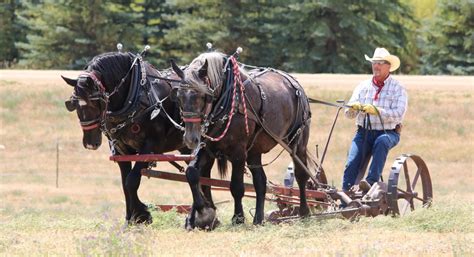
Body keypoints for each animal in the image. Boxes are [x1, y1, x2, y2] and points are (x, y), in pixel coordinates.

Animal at [62, 51, 189, 223]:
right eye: (73, 104)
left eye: (97, 103)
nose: (90, 143)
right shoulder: (121, 150)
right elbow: (124, 184)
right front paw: (131, 218)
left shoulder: (150, 147)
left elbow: (131, 181)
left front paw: (142, 214)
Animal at [172, 51, 312, 227]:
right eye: (179, 97)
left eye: (203, 96)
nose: (190, 138)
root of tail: (293, 82)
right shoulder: (206, 148)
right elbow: (192, 174)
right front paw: (202, 212)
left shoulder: (238, 152)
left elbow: (236, 186)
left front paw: (238, 217)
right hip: (254, 150)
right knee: (260, 181)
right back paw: (258, 219)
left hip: (298, 143)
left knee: (301, 174)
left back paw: (304, 212)